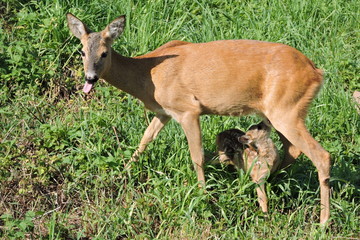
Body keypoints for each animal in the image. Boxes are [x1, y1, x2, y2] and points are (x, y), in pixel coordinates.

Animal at [66, 13, 330, 223]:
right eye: (81, 51)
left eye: (104, 52)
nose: (90, 78)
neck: (147, 75)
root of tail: (316, 72)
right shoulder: (164, 112)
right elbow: (145, 139)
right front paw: (124, 172)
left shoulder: (188, 109)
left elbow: (197, 156)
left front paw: (203, 196)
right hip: (278, 113)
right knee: (293, 150)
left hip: (286, 109)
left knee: (321, 155)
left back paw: (322, 221)